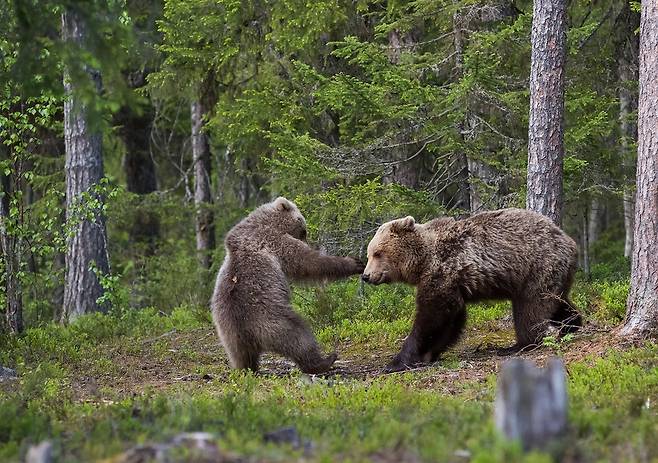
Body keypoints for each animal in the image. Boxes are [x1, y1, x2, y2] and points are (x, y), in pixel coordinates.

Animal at [358, 208, 580, 372]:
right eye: (369, 254)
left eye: (377, 253)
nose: (366, 276)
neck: (422, 262)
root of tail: (570, 242)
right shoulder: (450, 282)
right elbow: (450, 320)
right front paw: (429, 353)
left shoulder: (443, 271)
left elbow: (432, 317)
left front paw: (397, 361)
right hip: (550, 275)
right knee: (556, 301)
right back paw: (571, 324)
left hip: (536, 267)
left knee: (530, 308)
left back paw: (519, 344)